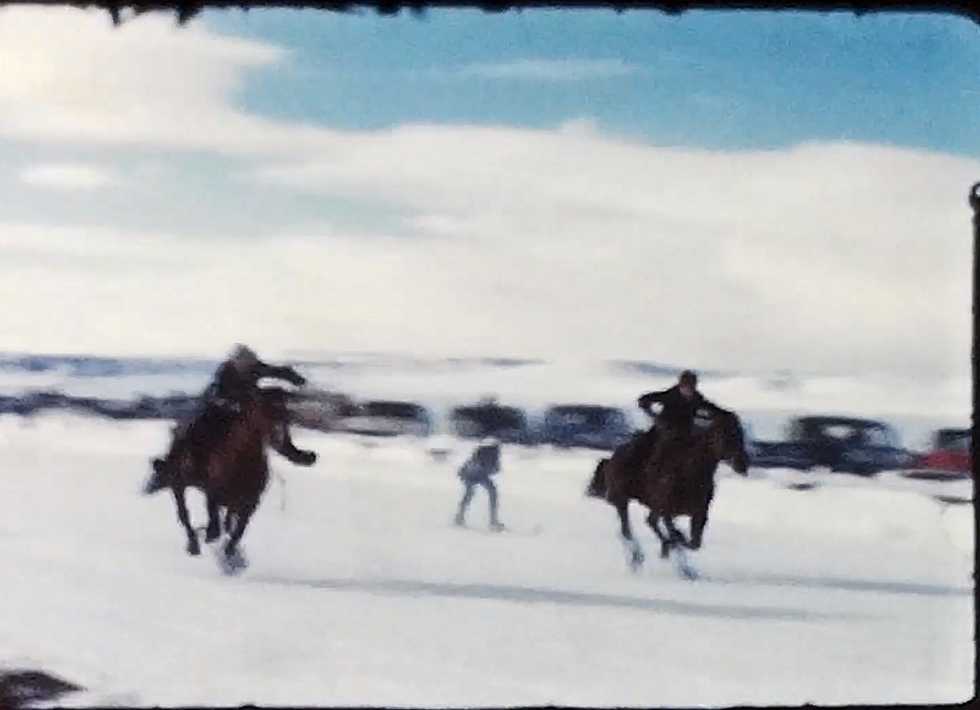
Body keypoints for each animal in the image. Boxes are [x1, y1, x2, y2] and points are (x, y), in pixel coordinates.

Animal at [145, 386, 318, 576]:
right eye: (261, 410)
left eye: (286, 415)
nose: (277, 434)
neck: (239, 465)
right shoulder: (213, 492)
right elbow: (214, 520)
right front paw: (210, 538)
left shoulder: (249, 504)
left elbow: (237, 531)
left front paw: (231, 556)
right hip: (180, 484)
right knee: (184, 514)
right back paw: (194, 545)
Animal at [580, 412, 752, 580]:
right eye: (723, 434)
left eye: (740, 434)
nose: (743, 464)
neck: (690, 472)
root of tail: (611, 458)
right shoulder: (667, 511)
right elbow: (676, 535)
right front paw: (671, 552)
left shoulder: (699, 514)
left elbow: (693, 542)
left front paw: (683, 565)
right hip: (621, 500)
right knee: (627, 530)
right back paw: (638, 557)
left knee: (649, 522)